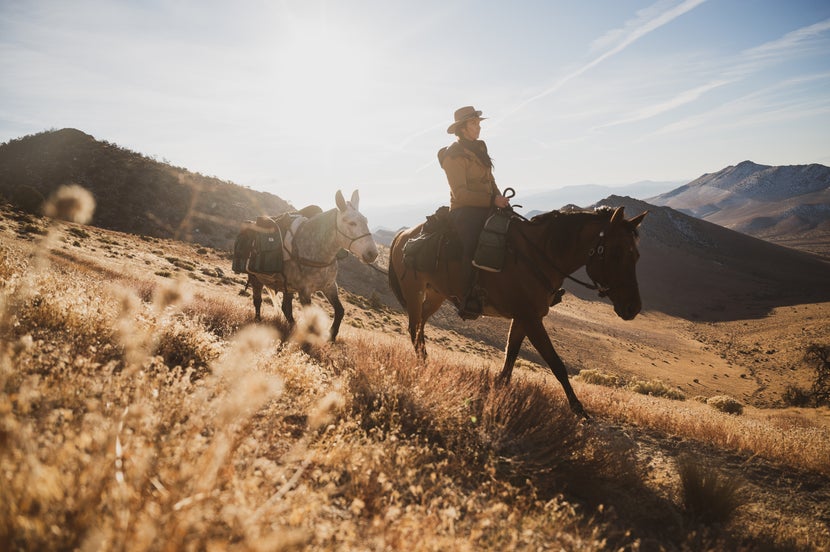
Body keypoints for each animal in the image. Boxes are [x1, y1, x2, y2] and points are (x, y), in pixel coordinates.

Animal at [390, 205, 648, 416]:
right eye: (616, 253)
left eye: (636, 255)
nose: (632, 308)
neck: (539, 255)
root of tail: (403, 234)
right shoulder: (531, 319)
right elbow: (556, 363)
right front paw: (578, 409)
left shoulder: (524, 318)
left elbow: (511, 354)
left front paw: (500, 388)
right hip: (414, 292)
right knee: (414, 326)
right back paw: (422, 365)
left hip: (435, 295)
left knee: (420, 325)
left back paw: (425, 360)